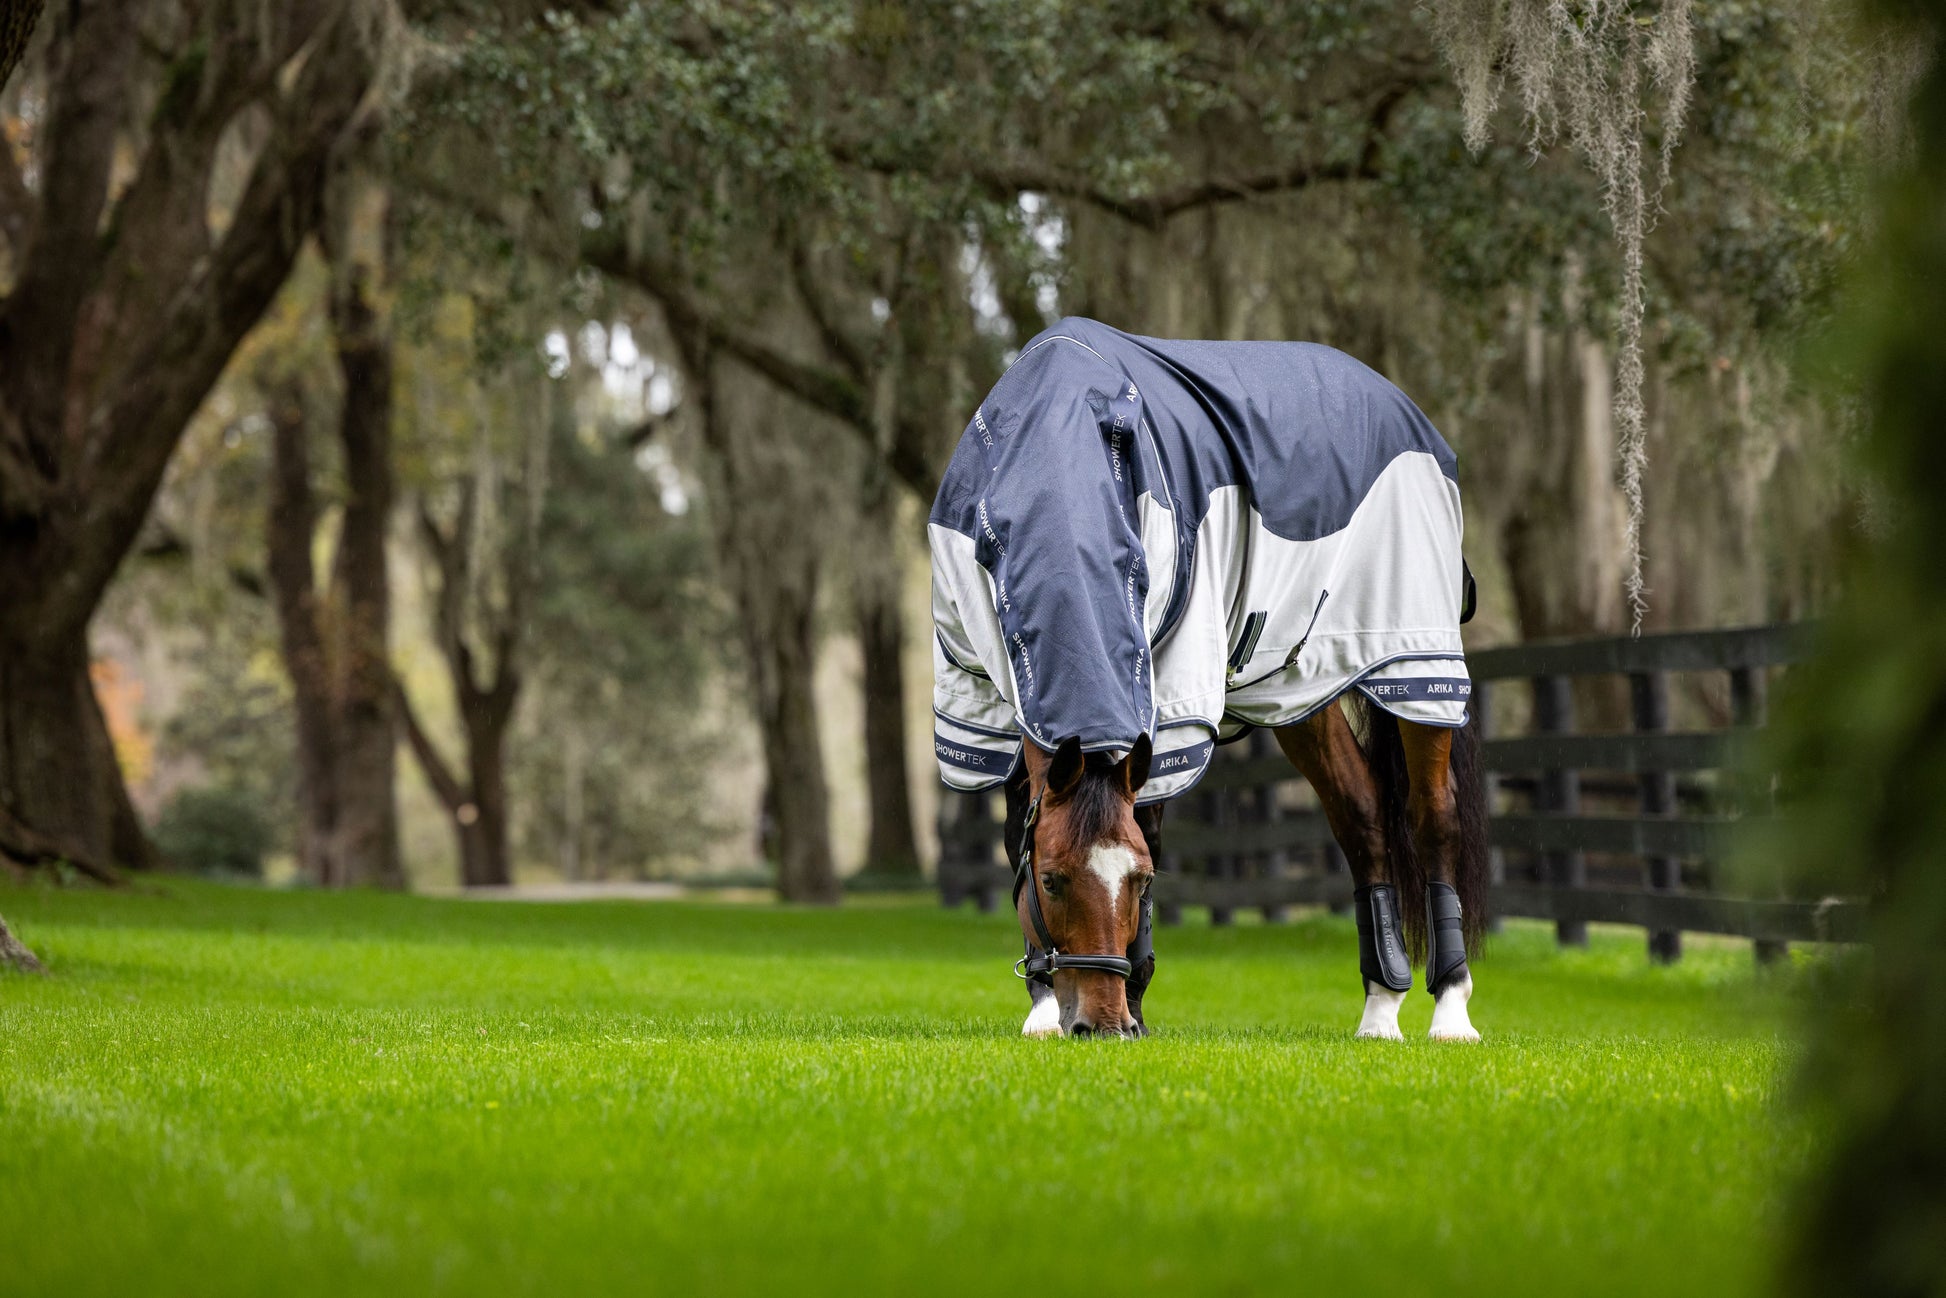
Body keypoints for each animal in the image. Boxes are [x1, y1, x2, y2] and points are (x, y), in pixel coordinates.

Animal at [929, 318, 1489, 1040]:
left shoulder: (1169, 706)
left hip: (1415, 665)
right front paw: (1044, 1007)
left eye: (1139, 881)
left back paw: (1451, 1009)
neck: (1053, 454)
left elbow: (1149, 824)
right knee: (1360, 814)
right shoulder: (994, 711)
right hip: (1298, 691)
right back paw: (1379, 1009)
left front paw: (1135, 997)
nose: (1102, 1023)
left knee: (1433, 817)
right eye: (1051, 880)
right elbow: (1014, 833)